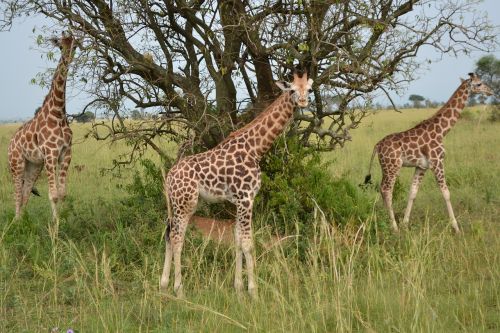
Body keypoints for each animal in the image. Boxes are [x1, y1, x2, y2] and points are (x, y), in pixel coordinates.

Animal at [7, 32, 78, 220]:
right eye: (60, 46)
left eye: (74, 45)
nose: (67, 57)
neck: (58, 112)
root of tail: (10, 144)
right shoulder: (51, 154)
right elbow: (53, 194)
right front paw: (55, 225)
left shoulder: (66, 153)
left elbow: (62, 193)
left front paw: (63, 221)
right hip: (17, 164)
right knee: (17, 192)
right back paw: (16, 221)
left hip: (34, 166)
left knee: (25, 193)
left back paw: (23, 220)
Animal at [160, 68, 312, 296]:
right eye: (292, 89)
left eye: (309, 89)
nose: (303, 101)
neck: (256, 149)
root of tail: (169, 176)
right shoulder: (247, 198)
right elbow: (248, 243)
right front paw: (253, 291)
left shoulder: (239, 200)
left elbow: (238, 241)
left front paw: (238, 288)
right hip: (185, 203)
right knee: (178, 238)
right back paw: (179, 289)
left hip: (177, 205)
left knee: (169, 235)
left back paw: (163, 283)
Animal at [366, 73, 494, 233]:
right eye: (478, 84)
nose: (491, 91)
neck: (442, 131)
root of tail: (377, 145)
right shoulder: (437, 161)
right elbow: (446, 193)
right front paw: (456, 228)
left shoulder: (422, 167)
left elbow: (413, 193)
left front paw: (405, 224)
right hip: (392, 166)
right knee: (386, 190)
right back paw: (394, 228)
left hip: (387, 167)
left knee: (383, 190)